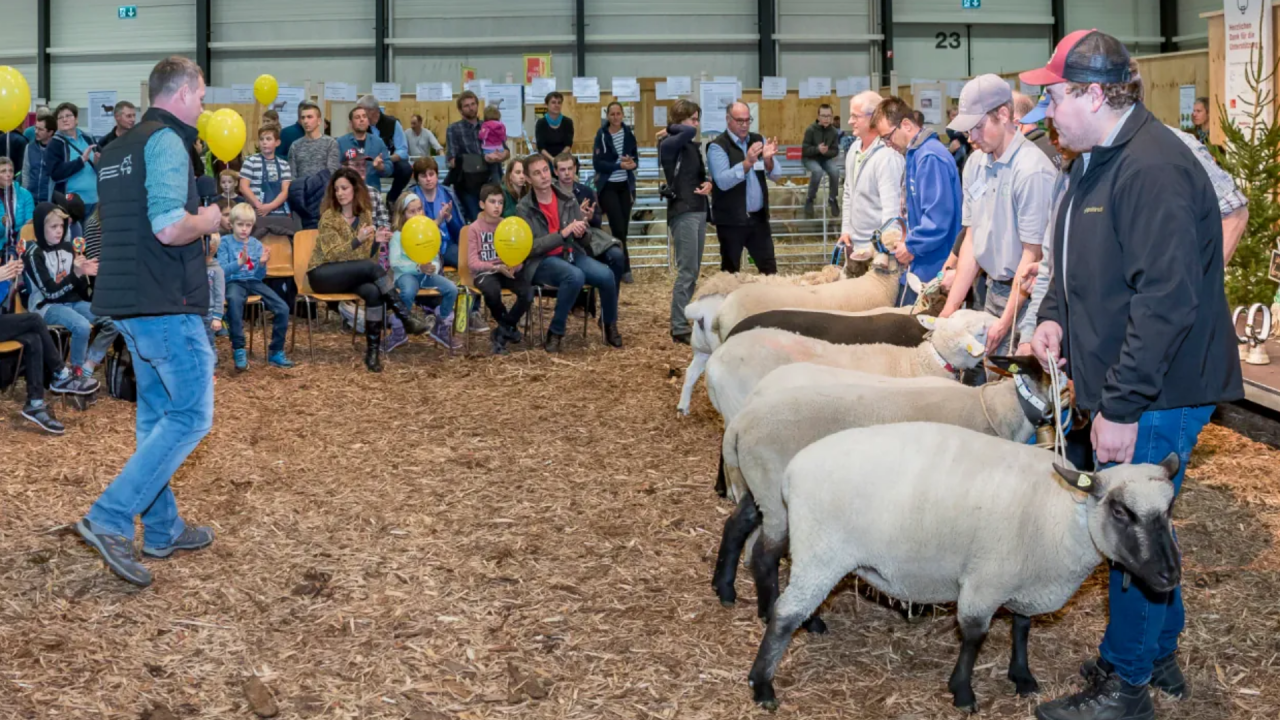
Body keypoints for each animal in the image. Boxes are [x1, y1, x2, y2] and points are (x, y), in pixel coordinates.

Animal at [711, 356, 1059, 625]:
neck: (996, 411)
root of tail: (740, 424)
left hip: (760, 487)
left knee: (736, 524)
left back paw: (724, 589)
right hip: (775, 494)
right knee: (765, 554)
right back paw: (778, 614)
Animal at [747, 420, 1182, 712]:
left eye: (1168, 510)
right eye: (1121, 511)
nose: (1170, 575)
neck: (1060, 512)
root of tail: (792, 471)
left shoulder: (1023, 575)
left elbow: (1022, 627)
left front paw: (1022, 677)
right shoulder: (986, 578)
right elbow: (974, 635)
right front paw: (963, 693)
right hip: (822, 551)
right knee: (784, 614)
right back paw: (762, 685)